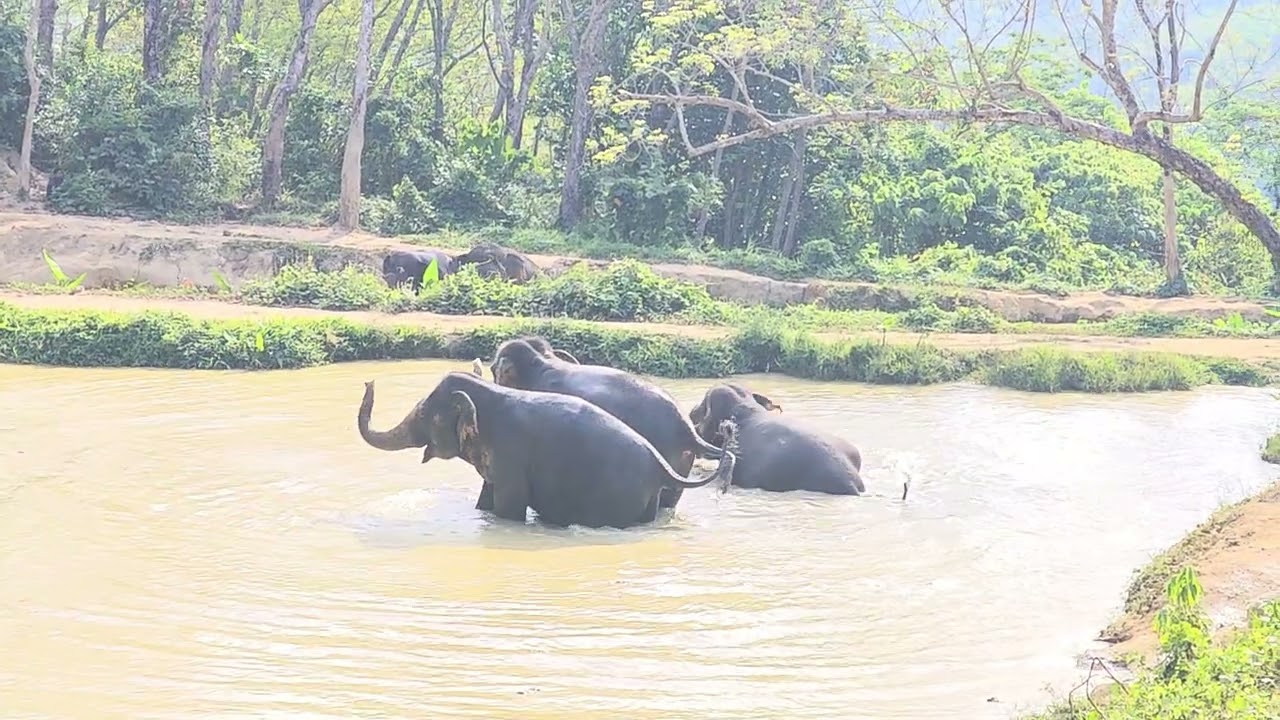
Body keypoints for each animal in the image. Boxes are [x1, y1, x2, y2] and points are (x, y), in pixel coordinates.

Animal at [355, 370, 737, 529]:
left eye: (425, 414)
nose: (368, 381)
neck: (490, 394)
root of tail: (660, 466)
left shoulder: (511, 455)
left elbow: (508, 510)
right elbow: (486, 500)